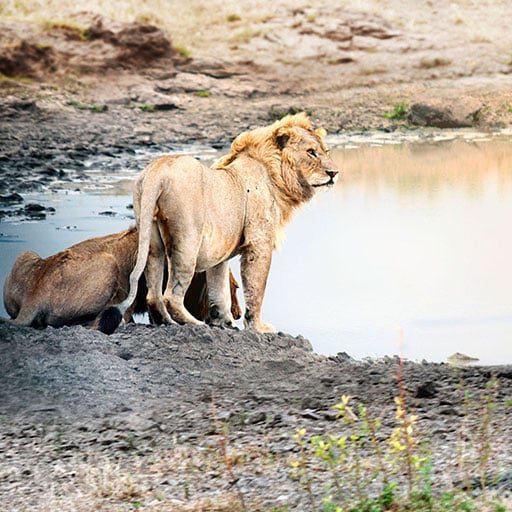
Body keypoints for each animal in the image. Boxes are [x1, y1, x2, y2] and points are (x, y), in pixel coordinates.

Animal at [3, 228, 241, 332]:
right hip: (108, 264)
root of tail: (33, 297)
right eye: (235, 288)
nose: (238, 315)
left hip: (26, 254)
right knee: (95, 322)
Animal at [101, 113, 338, 332]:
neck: (276, 174)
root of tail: (157, 171)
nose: (334, 173)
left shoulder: (219, 253)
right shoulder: (258, 244)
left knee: (153, 294)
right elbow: (255, 289)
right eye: (311, 152)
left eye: (326, 151)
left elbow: (219, 287)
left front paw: (223, 321)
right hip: (188, 241)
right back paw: (193, 323)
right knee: (171, 296)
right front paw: (258, 327)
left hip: (151, 239)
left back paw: (166, 323)